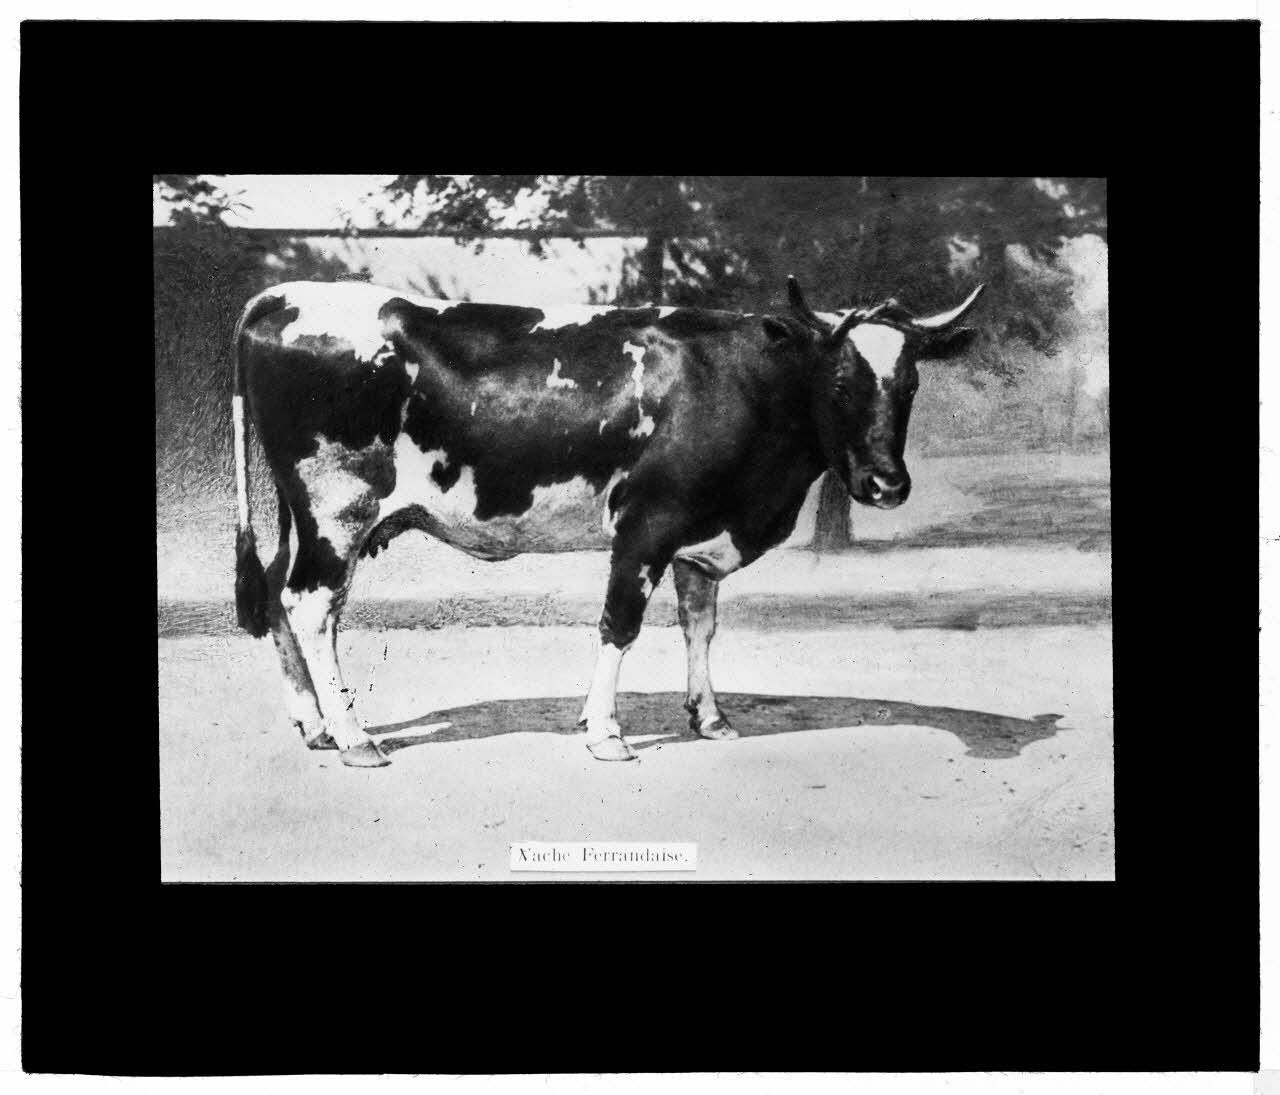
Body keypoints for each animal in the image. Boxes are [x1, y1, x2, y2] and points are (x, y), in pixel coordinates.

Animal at [232, 276, 985, 767]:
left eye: (911, 384)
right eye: (838, 381)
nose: (887, 485)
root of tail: (283, 295)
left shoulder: (697, 537)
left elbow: (699, 626)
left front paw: (710, 717)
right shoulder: (645, 524)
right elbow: (619, 625)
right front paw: (605, 732)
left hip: (303, 513)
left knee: (275, 594)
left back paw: (316, 726)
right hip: (339, 507)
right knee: (312, 604)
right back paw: (355, 736)